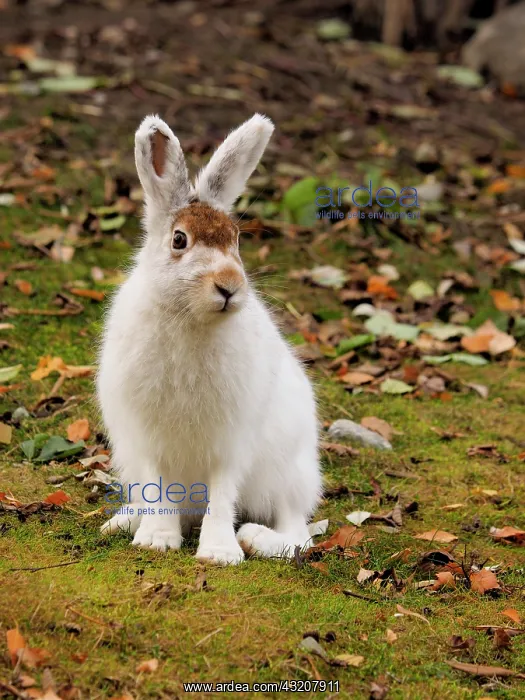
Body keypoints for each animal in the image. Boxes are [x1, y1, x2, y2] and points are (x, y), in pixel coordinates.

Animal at [97, 113, 322, 565]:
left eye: (235, 240)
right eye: (179, 240)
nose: (229, 286)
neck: (191, 320)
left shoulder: (231, 442)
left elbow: (222, 494)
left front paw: (219, 552)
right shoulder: (148, 440)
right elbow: (159, 488)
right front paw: (157, 540)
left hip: (287, 471)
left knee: (297, 533)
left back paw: (254, 538)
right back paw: (124, 522)